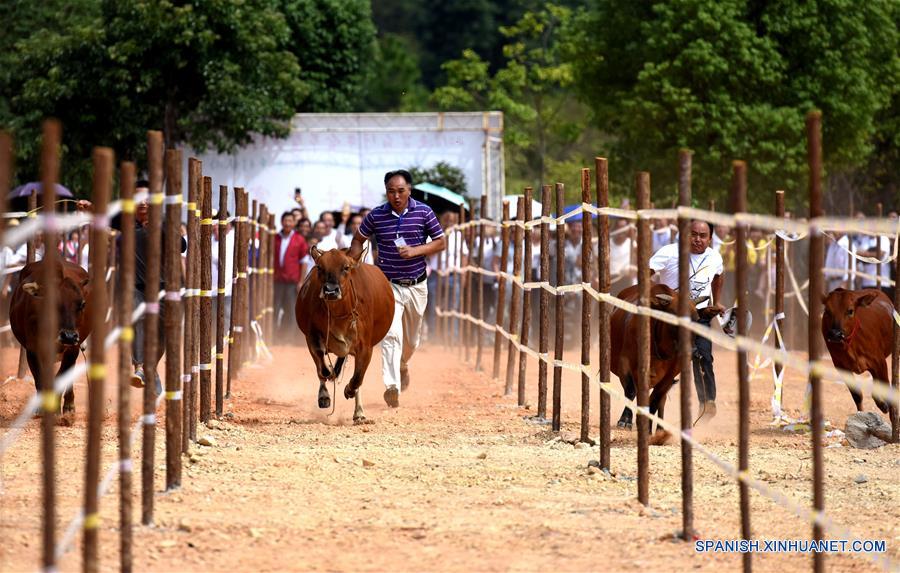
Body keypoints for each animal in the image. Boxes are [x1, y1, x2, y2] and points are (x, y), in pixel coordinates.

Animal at [9, 262, 93, 414]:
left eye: (82, 304)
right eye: (52, 303)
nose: (69, 336)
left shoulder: (72, 350)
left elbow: (61, 377)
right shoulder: (32, 350)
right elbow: (40, 380)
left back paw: (69, 405)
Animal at [296, 246, 394, 420]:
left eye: (346, 267)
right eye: (320, 267)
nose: (330, 291)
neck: (338, 313)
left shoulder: (365, 347)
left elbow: (357, 377)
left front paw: (349, 390)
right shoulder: (312, 337)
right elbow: (322, 367)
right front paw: (325, 394)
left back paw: (359, 412)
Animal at [608, 284, 708, 444]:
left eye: (697, 320)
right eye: (674, 317)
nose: (692, 351)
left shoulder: (669, 376)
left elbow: (655, 400)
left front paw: (649, 430)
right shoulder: (625, 364)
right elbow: (631, 392)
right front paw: (625, 420)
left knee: (661, 400)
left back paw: (660, 429)